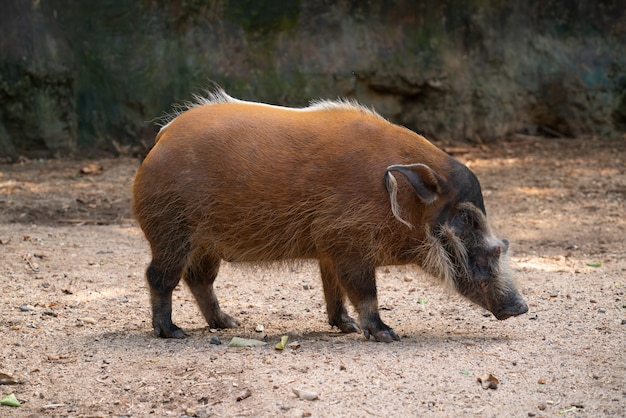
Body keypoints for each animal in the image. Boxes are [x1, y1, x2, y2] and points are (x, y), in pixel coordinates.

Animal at [133, 90, 528, 342]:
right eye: (465, 219)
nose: (521, 307)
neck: (398, 200)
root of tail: (161, 138)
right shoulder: (350, 244)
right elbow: (365, 291)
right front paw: (386, 333)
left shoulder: (330, 249)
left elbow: (334, 291)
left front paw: (348, 327)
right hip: (171, 232)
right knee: (159, 277)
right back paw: (172, 332)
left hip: (204, 244)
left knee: (199, 279)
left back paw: (230, 323)